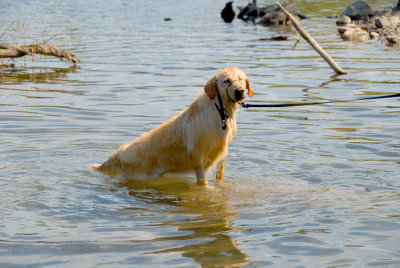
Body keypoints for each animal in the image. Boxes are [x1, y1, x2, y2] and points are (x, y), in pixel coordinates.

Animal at [94, 67, 253, 184]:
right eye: (226, 81)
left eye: (241, 79)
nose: (240, 91)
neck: (220, 112)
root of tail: (118, 154)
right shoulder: (197, 155)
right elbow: (203, 181)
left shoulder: (222, 154)